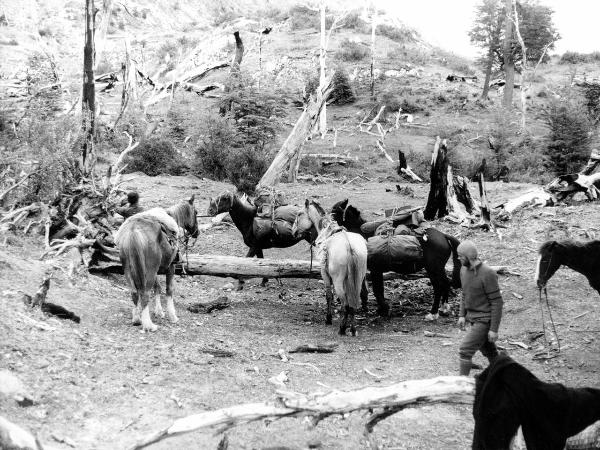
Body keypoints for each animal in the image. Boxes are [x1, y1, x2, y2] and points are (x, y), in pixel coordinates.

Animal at [117, 195, 199, 332]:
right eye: (196, 212)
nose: (197, 232)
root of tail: (133, 231)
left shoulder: (156, 271)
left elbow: (157, 288)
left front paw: (159, 312)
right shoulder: (170, 267)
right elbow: (169, 289)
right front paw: (172, 316)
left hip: (128, 268)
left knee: (134, 292)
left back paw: (137, 319)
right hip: (150, 269)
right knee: (144, 293)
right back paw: (149, 325)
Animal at [330, 199, 462, 318]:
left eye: (335, 211)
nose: (331, 226)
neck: (365, 237)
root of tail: (444, 236)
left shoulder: (375, 270)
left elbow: (377, 290)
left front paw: (384, 310)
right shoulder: (376, 271)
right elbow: (379, 290)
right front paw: (381, 310)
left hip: (433, 269)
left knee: (439, 287)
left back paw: (433, 313)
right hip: (436, 269)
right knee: (445, 284)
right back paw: (443, 309)